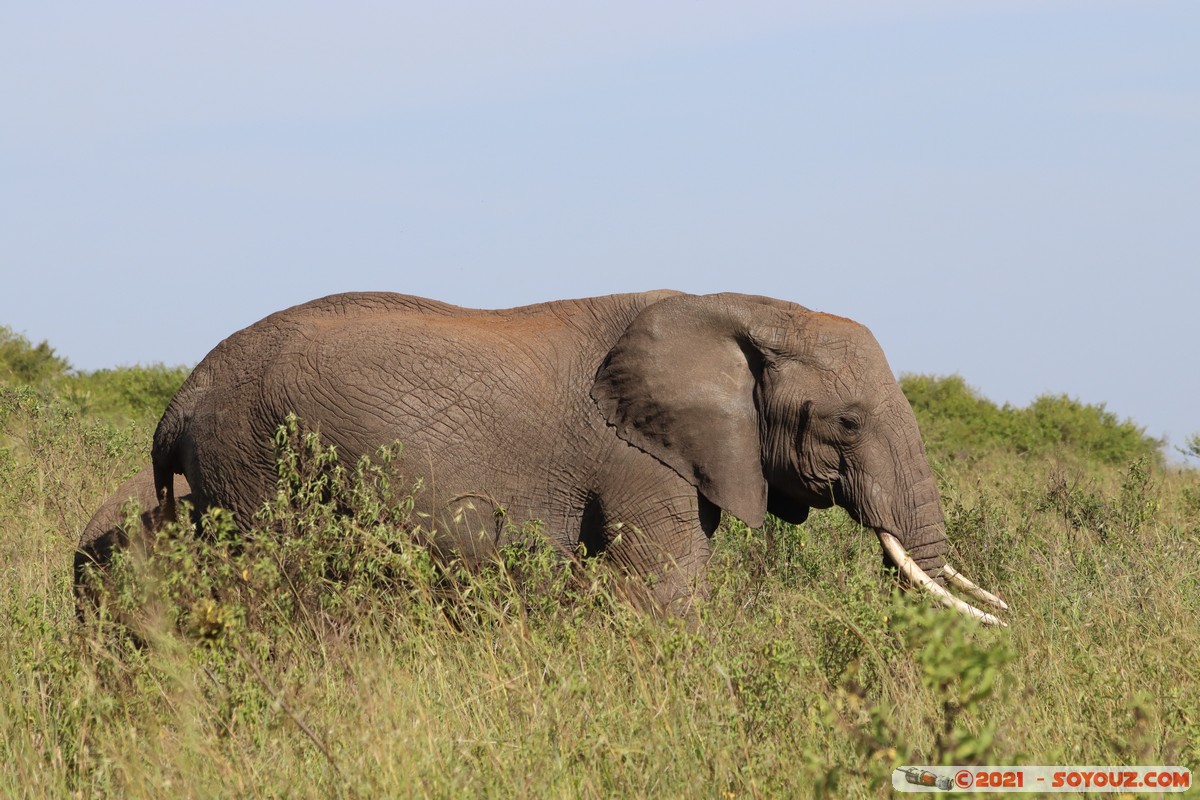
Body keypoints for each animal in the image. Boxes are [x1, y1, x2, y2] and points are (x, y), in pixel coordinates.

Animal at [150, 291, 1008, 623]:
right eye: (849, 422)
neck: (740, 308)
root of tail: (180, 401)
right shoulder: (639, 457)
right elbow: (665, 590)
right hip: (255, 462)